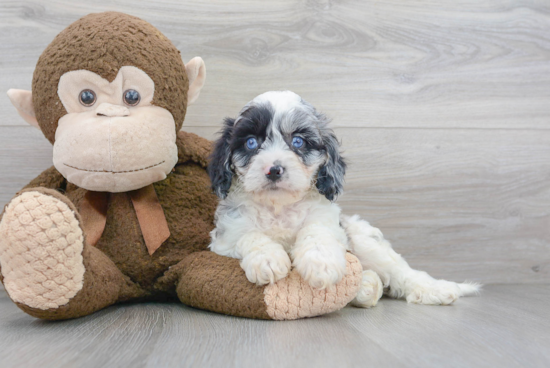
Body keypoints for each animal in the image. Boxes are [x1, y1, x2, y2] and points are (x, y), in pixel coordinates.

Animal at [207, 90, 478, 306]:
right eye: (251, 142)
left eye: (298, 141)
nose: (274, 170)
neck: (279, 208)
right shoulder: (225, 238)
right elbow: (249, 235)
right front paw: (268, 260)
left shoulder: (327, 221)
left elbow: (316, 233)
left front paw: (321, 264)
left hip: (366, 241)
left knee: (402, 271)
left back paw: (437, 290)